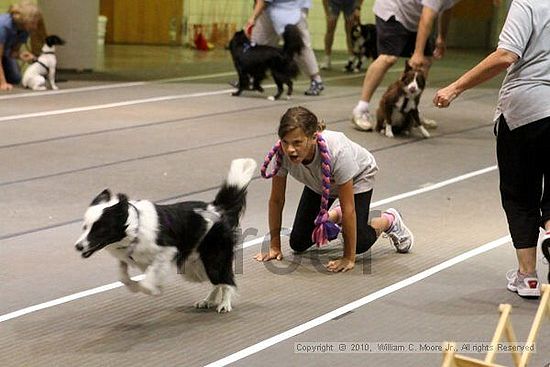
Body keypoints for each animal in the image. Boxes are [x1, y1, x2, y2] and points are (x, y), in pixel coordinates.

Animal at [73, 158, 258, 314]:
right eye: (85, 227)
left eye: (99, 229)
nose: (78, 246)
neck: (134, 227)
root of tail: (218, 208)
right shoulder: (126, 257)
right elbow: (123, 276)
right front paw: (134, 285)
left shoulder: (168, 251)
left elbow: (148, 281)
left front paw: (154, 289)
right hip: (194, 266)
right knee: (217, 282)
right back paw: (208, 301)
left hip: (212, 258)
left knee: (226, 280)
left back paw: (224, 304)